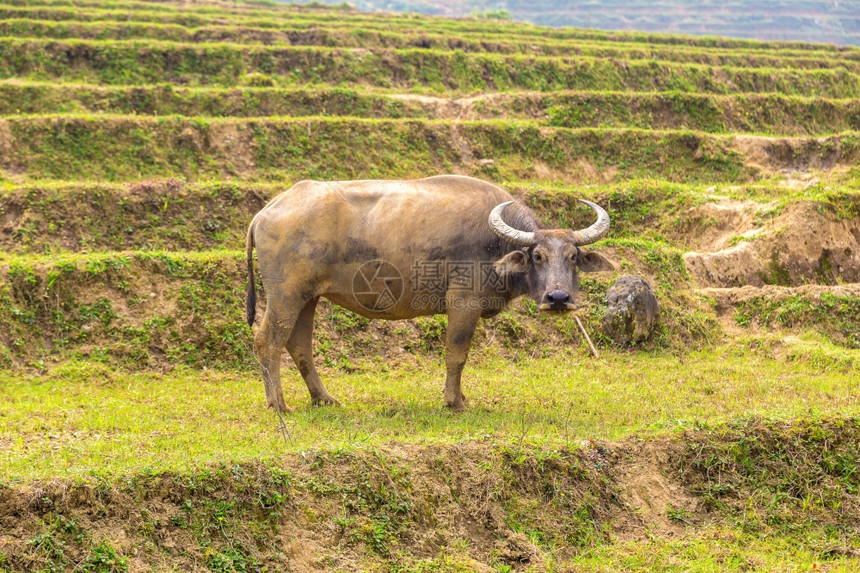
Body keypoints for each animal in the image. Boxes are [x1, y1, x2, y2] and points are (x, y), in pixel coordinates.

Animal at [245, 174, 616, 412]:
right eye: (537, 256)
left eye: (573, 257)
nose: (558, 299)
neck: (496, 244)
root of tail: (268, 210)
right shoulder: (464, 302)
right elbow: (457, 354)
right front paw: (455, 402)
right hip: (285, 294)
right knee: (268, 340)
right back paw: (278, 404)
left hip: (308, 297)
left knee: (298, 344)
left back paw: (324, 399)